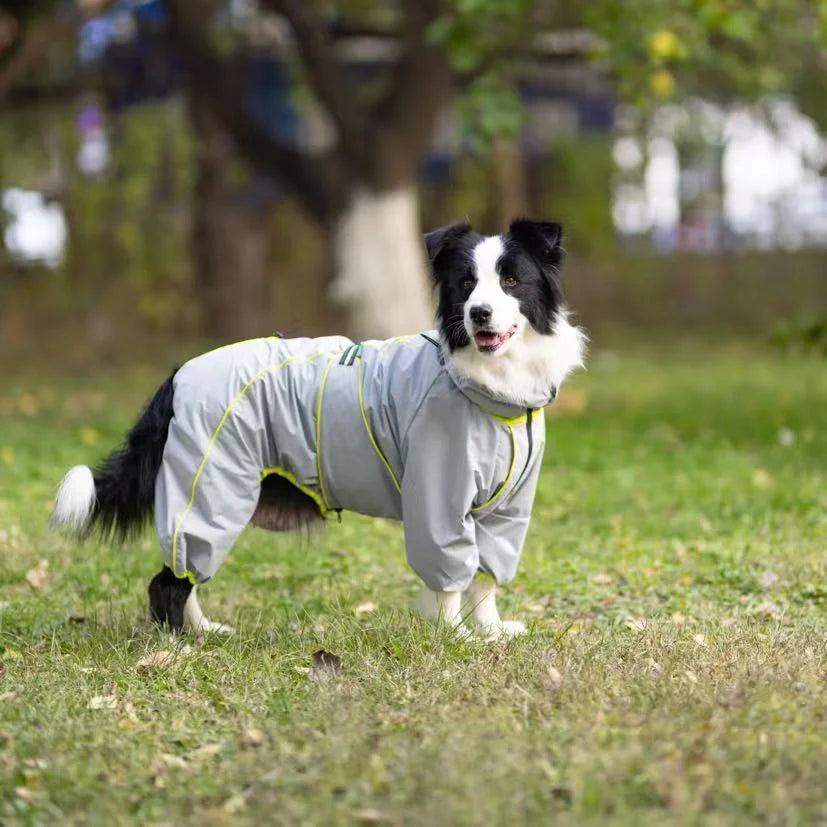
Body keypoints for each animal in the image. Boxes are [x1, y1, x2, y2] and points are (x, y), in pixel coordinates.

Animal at [51, 218, 584, 640]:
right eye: (466, 284)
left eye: (511, 280)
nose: (479, 313)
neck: (492, 391)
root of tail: (179, 374)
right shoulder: (441, 502)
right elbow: (452, 576)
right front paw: (455, 638)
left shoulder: (507, 510)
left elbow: (485, 578)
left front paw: (491, 632)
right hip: (210, 484)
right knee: (171, 577)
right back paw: (181, 644)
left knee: (184, 572)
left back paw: (206, 630)